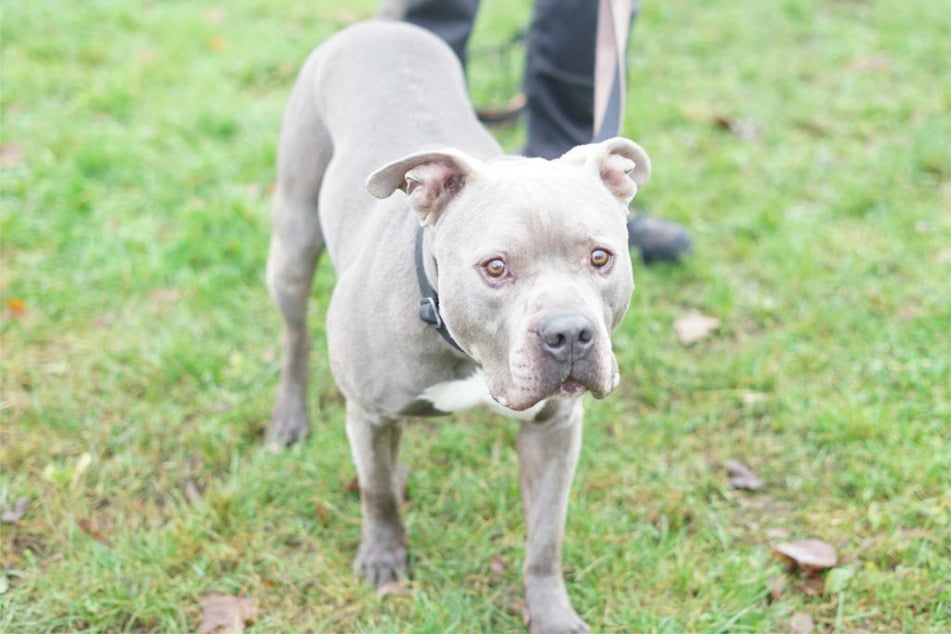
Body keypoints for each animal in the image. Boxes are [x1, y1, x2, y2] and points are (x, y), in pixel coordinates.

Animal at [264, 21, 652, 632]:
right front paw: (383, 558)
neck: (462, 346)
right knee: (295, 336)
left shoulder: (555, 428)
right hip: (293, 237)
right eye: (495, 267)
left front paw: (550, 611)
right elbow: (376, 493)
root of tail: (380, 25)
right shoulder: (367, 413)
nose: (569, 334)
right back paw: (289, 416)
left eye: (600, 257)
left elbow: (546, 536)